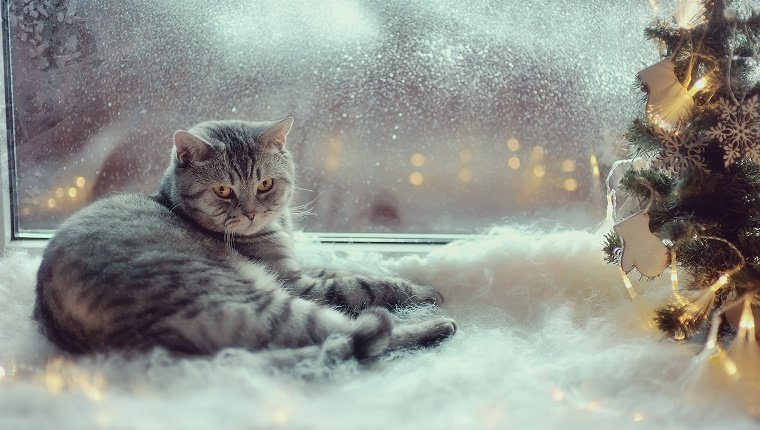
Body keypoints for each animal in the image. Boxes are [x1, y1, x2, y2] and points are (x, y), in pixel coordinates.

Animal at [32, 117, 454, 362]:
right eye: (223, 190)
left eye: (265, 184)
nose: (251, 212)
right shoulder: (297, 282)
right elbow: (363, 285)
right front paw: (423, 291)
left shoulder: (300, 269)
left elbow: (349, 271)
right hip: (262, 302)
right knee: (354, 333)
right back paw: (437, 327)